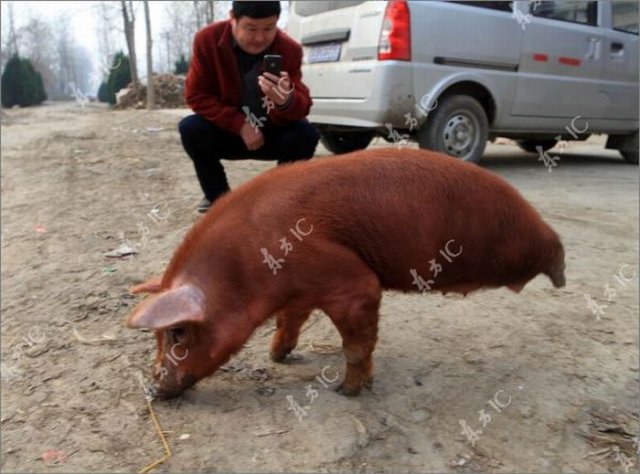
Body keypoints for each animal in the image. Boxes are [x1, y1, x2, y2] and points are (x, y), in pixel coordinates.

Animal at [125, 146, 564, 398]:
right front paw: (277, 355)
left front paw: (346, 391)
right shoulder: (298, 293)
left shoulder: (351, 282)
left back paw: (561, 276)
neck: (246, 267)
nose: (153, 389)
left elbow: (356, 343)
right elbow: (288, 322)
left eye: (177, 333)